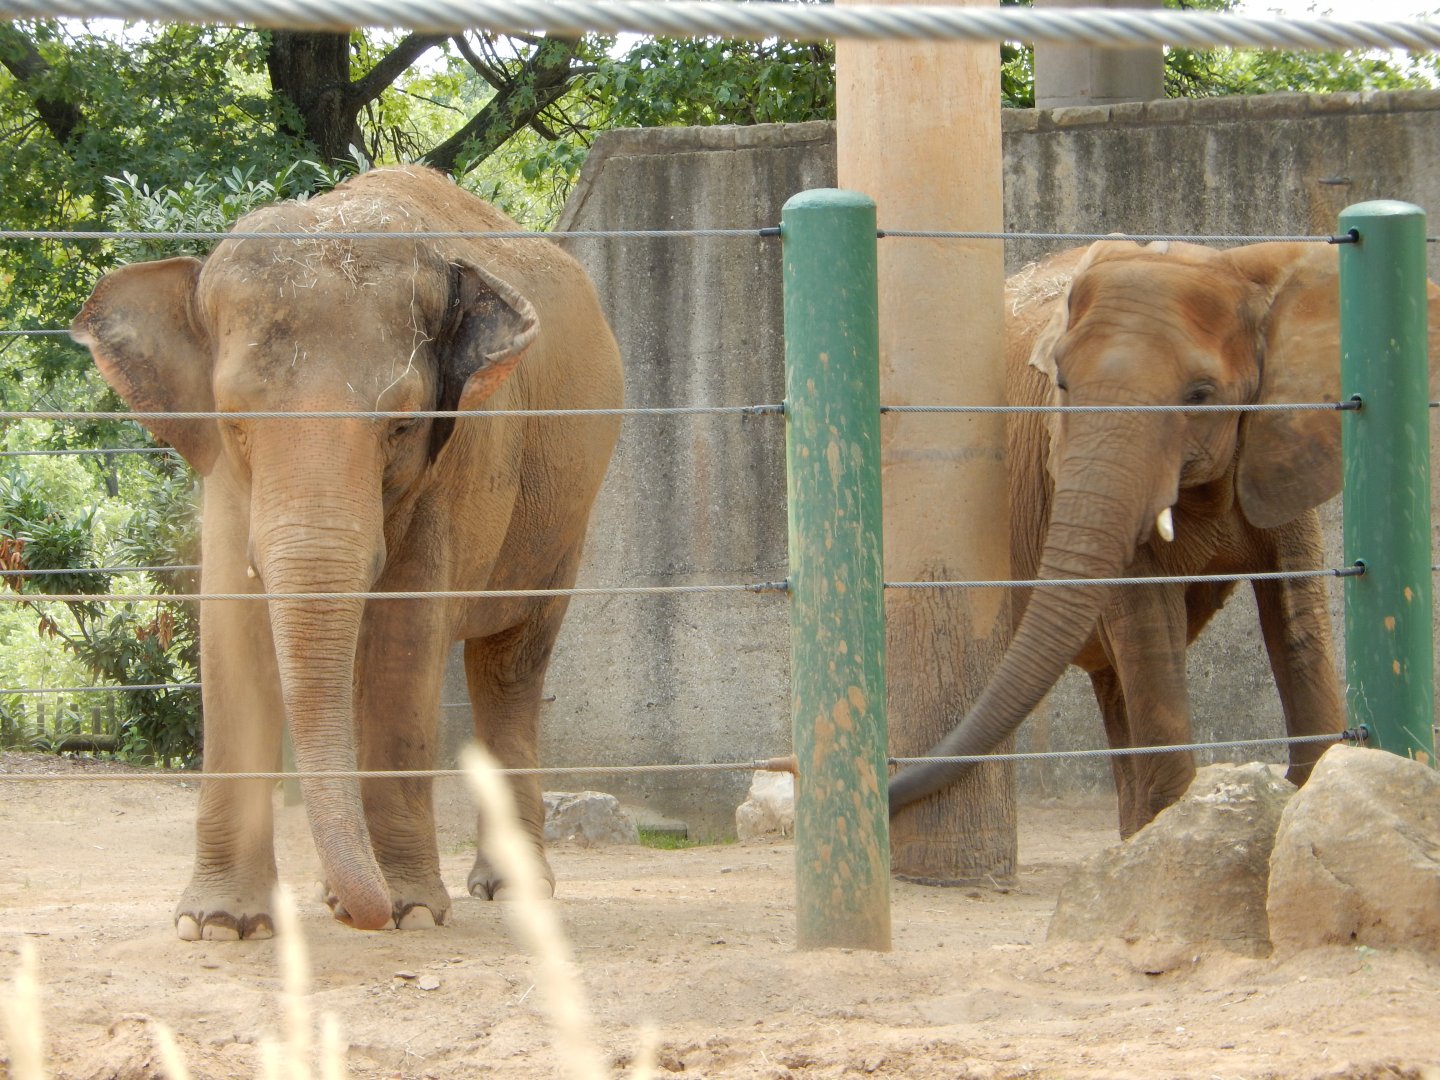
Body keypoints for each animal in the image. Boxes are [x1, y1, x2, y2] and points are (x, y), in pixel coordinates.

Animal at [71, 166, 624, 939]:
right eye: (235, 423)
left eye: (401, 426)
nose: (360, 907)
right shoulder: (223, 477)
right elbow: (231, 630)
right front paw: (219, 923)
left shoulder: (461, 457)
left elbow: (403, 639)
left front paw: (408, 911)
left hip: (565, 513)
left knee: (509, 664)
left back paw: (509, 891)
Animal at [889, 238, 1439, 837]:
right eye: (1062, 385)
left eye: (1200, 395)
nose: (891, 784)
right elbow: (1149, 621)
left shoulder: (1281, 437)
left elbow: (1296, 611)